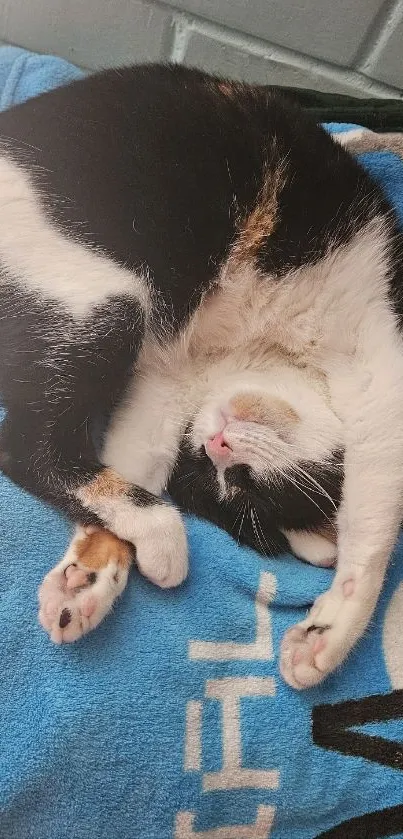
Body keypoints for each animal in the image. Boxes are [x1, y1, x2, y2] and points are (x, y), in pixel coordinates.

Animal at [0, 64, 403, 688]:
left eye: (236, 485)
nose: (216, 447)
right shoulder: (383, 361)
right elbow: (380, 506)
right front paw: (335, 629)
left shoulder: (165, 384)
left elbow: (135, 455)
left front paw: (89, 577)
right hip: (113, 294)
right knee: (21, 444)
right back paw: (162, 528)